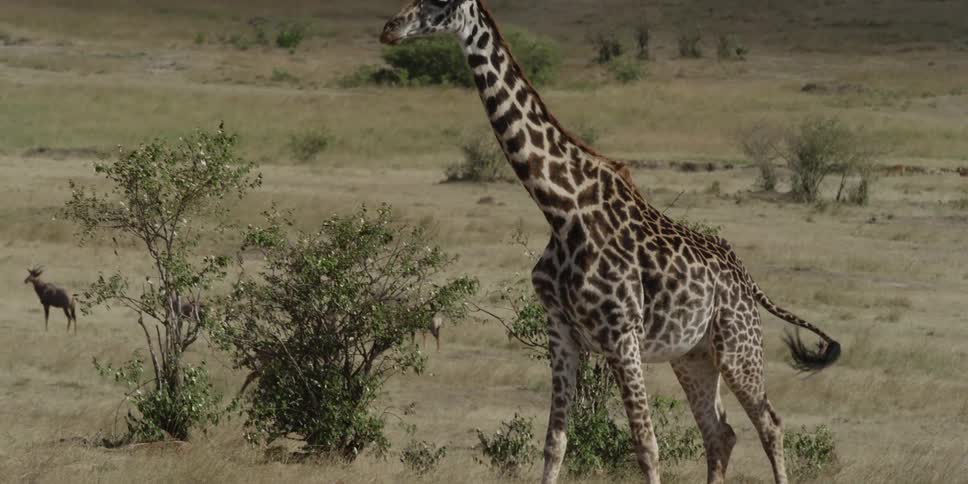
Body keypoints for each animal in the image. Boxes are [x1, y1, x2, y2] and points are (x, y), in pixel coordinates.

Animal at [380, 2, 841, 483]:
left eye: (441, 4)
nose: (390, 29)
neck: (561, 209)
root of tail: (749, 281)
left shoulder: (622, 335)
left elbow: (646, 445)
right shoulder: (561, 333)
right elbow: (555, 443)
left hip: (738, 344)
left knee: (769, 423)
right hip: (693, 354)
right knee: (721, 433)